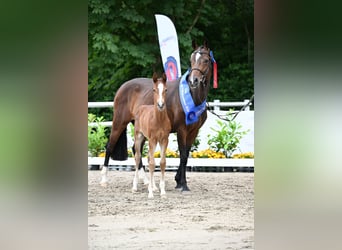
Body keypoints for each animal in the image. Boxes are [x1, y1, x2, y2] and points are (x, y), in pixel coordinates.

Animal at [101, 40, 214, 191]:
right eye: (192, 60)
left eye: (206, 60)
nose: (193, 80)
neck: (193, 96)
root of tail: (123, 87)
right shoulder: (182, 130)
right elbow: (183, 155)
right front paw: (182, 184)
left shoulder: (193, 131)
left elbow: (186, 155)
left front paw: (178, 180)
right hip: (119, 122)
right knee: (109, 146)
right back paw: (104, 179)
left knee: (136, 150)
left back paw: (146, 181)